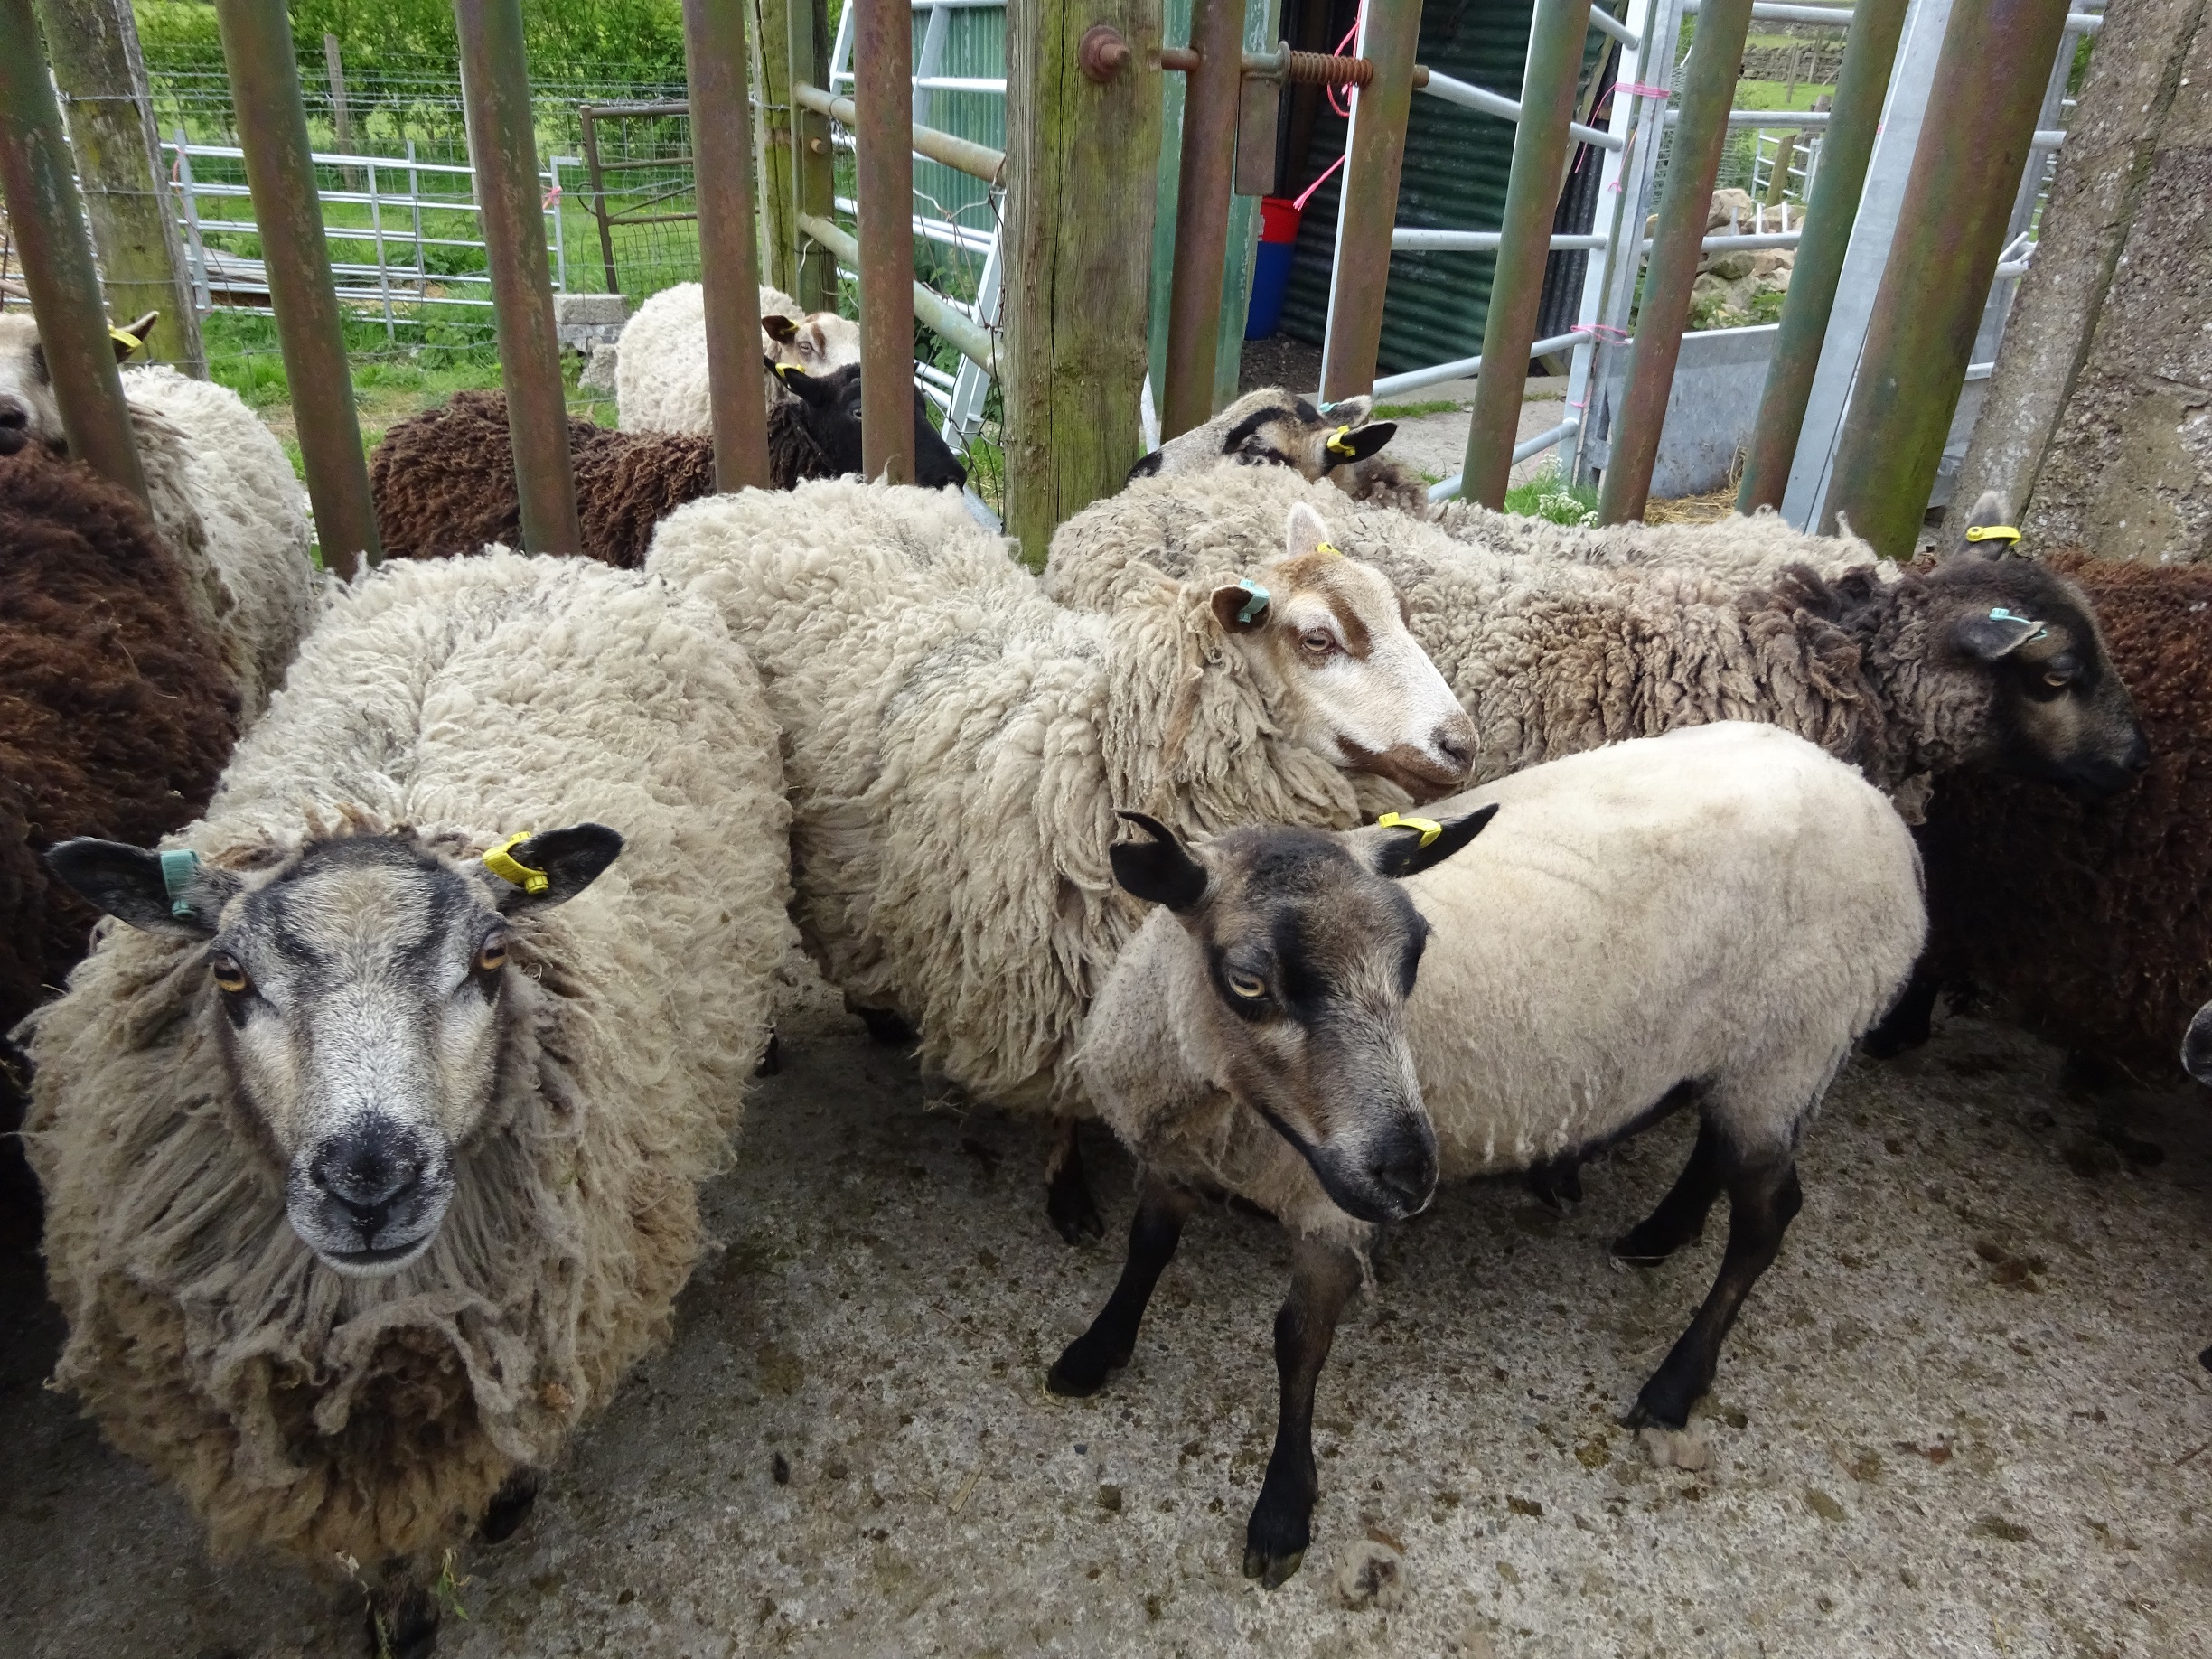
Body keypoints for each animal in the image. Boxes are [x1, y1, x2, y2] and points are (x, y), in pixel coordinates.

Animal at [646, 482, 1475, 1238]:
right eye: (1318, 639)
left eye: (1401, 612)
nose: (1461, 745)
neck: (1104, 755)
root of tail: (755, 496)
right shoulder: (1049, 984)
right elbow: (1066, 1104)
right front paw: (1068, 1193)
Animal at [1052, 721, 1926, 1586]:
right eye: (1247, 981)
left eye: (1414, 960)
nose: (1410, 1174)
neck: (1206, 1095)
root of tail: (1875, 806)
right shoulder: (1175, 1157)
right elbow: (1147, 1247)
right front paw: (1094, 1352)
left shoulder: (1328, 1208)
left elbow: (1299, 1344)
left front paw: (1282, 1510)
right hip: (1744, 1060)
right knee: (1716, 1150)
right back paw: (1659, 1233)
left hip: (1789, 1048)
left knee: (1767, 1218)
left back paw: (1675, 1385)